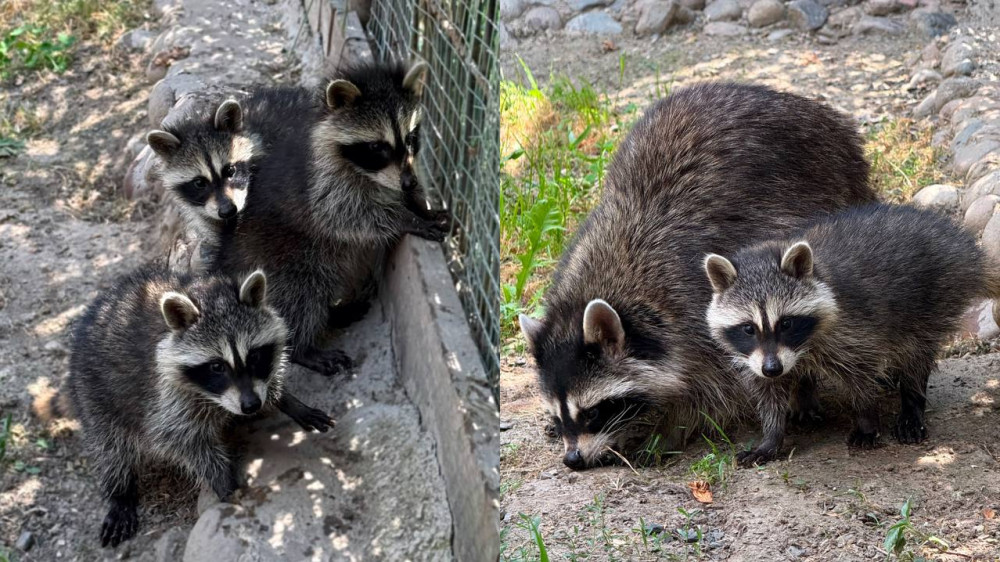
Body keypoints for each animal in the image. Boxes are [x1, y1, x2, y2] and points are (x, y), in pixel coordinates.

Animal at [51, 265, 333, 547]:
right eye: (217, 366)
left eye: (254, 356)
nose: (252, 405)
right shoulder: (164, 395)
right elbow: (184, 442)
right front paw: (225, 484)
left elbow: (269, 381)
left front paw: (287, 400)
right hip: (95, 395)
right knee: (110, 448)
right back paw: (119, 491)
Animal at [208, 60, 450, 375]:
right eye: (377, 147)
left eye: (411, 138)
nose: (409, 183)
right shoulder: (324, 186)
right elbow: (351, 217)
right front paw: (409, 219)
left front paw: (420, 205)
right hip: (281, 258)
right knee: (302, 294)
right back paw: (304, 348)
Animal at [519, 82, 877, 470]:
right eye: (560, 415)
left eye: (594, 412)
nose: (573, 460)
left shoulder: (697, 311)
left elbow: (713, 391)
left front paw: (668, 430)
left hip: (827, 186)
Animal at [704, 203, 1000, 466]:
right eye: (748, 328)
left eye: (786, 323)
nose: (773, 368)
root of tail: (963, 249)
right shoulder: (758, 358)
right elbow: (769, 395)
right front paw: (772, 436)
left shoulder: (853, 330)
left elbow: (861, 377)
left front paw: (867, 418)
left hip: (932, 298)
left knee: (915, 354)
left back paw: (912, 402)